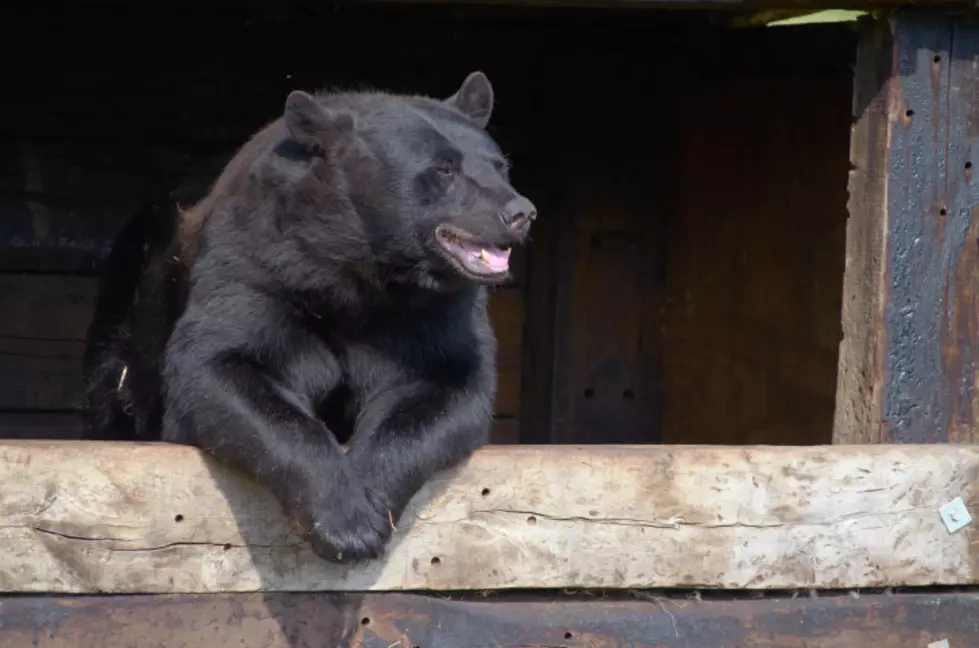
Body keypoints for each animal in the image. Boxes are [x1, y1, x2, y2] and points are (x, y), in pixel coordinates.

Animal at [81, 71, 536, 563]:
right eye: (444, 169)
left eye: (500, 165)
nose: (520, 212)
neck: (358, 274)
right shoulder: (259, 269)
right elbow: (221, 368)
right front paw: (343, 522)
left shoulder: (436, 315)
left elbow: (446, 386)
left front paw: (368, 503)